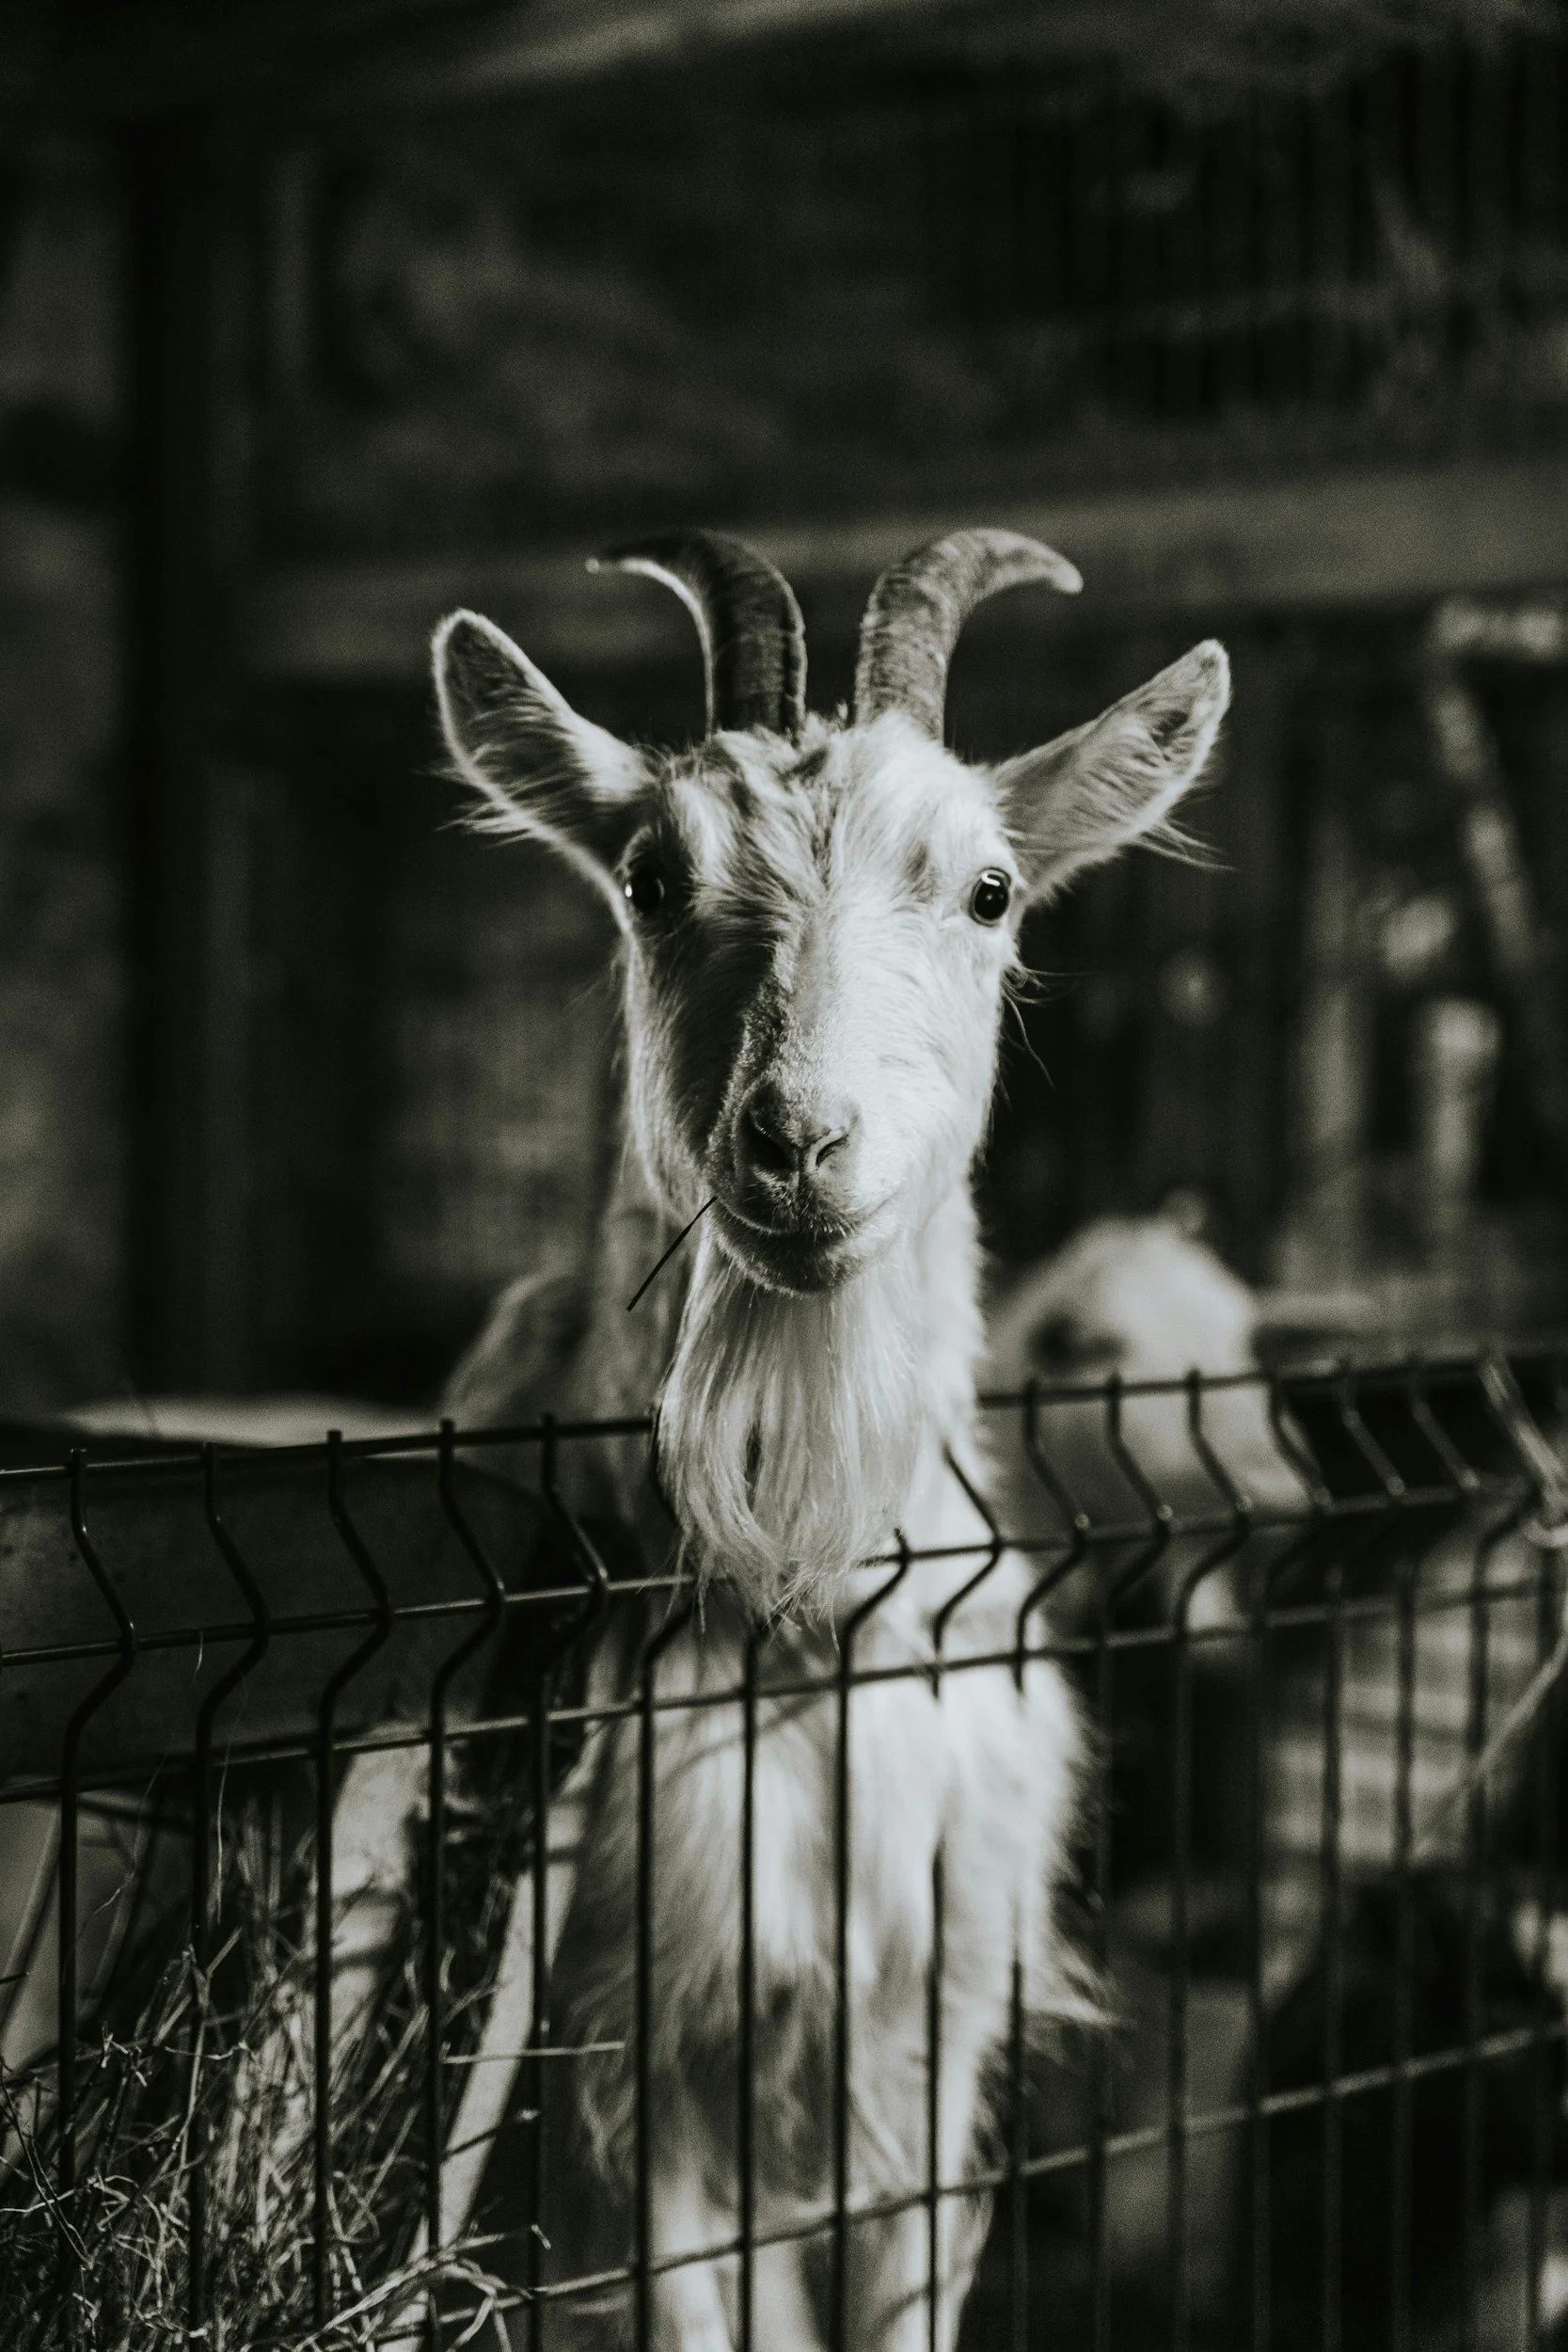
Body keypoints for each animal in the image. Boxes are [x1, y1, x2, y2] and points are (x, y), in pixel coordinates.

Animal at [330, 527, 1230, 2349]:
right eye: (648, 879)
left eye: (987, 889)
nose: (800, 1142)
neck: (802, 1620)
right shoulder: (635, 2070)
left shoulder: (929, 2040)